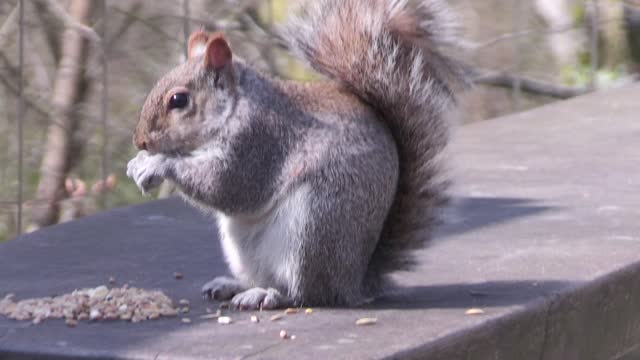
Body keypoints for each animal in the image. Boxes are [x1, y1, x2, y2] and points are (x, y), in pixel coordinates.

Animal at [125, 0, 468, 310]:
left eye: (178, 100)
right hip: (247, 247)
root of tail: (353, 282)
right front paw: (137, 164)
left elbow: (225, 185)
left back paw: (270, 296)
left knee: (308, 294)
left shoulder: (258, 141)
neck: (234, 107)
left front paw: (157, 164)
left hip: (314, 228)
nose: (140, 141)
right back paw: (234, 285)